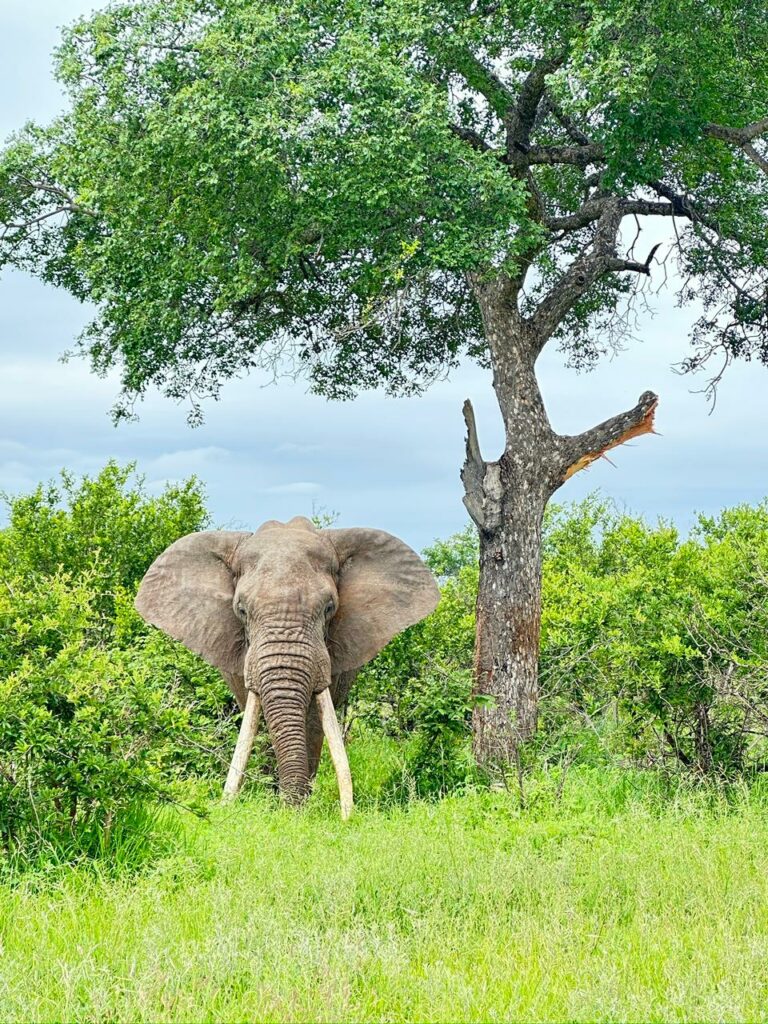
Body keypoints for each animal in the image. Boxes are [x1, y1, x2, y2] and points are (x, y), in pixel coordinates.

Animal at [134, 516, 440, 817]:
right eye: (241, 610)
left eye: (330, 608)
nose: (290, 809)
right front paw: (275, 804)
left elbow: (314, 722)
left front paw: (297, 807)